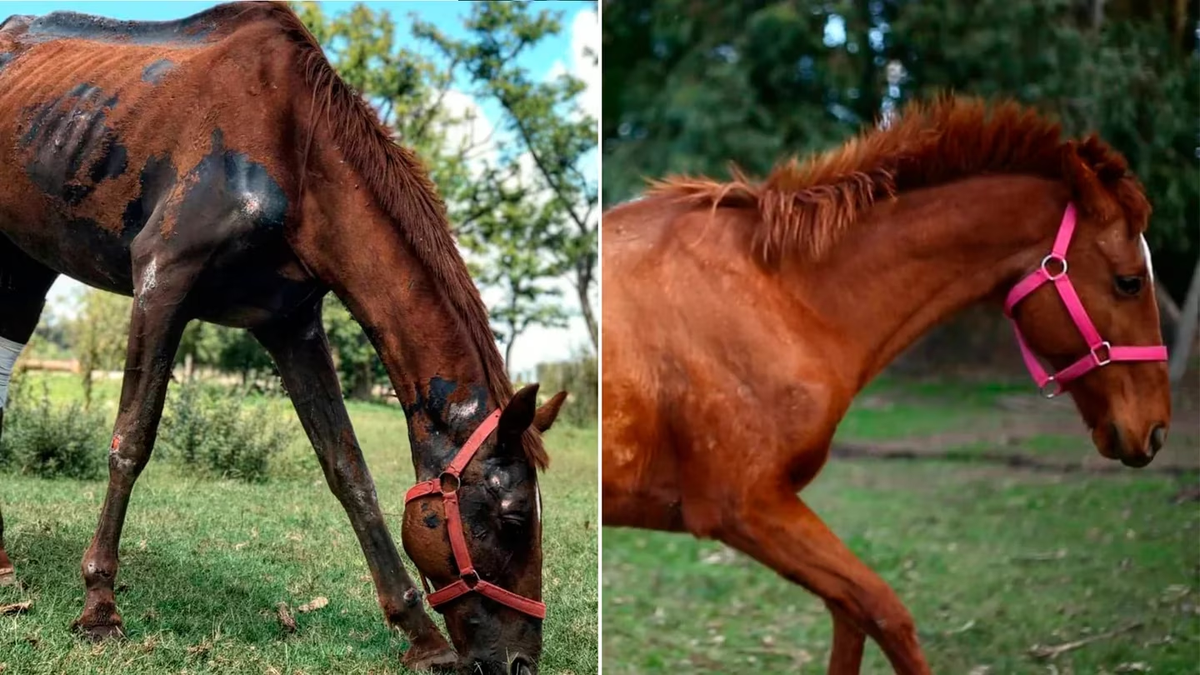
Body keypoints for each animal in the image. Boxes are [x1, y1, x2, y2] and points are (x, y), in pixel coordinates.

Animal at [0, 4, 568, 673]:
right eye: (512, 519)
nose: (520, 662)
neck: (296, 149)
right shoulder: (162, 282)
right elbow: (130, 443)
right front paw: (99, 607)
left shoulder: (291, 326)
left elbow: (349, 471)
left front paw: (420, 635)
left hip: (26, 263)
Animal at [601, 97, 1170, 674]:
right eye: (1129, 282)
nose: (1155, 429)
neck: (781, 297)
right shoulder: (746, 507)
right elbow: (886, 614)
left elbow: (852, 620)